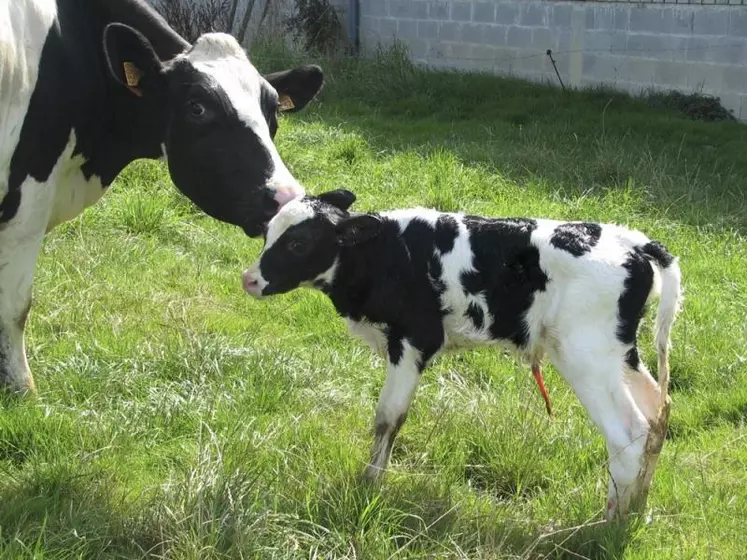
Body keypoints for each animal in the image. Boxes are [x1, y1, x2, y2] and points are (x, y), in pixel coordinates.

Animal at [2, 0, 324, 394]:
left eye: (273, 112)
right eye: (197, 108)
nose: (286, 197)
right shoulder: (28, 204)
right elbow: (16, 304)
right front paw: (21, 388)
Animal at [244, 189, 684, 520]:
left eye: (298, 243)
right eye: (268, 232)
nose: (249, 279)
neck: (388, 254)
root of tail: (630, 240)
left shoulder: (414, 339)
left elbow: (388, 418)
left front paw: (370, 483)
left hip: (585, 356)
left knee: (628, 434)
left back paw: (605, 525)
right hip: (620, 353)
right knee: (656, 417)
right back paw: (636, 509)